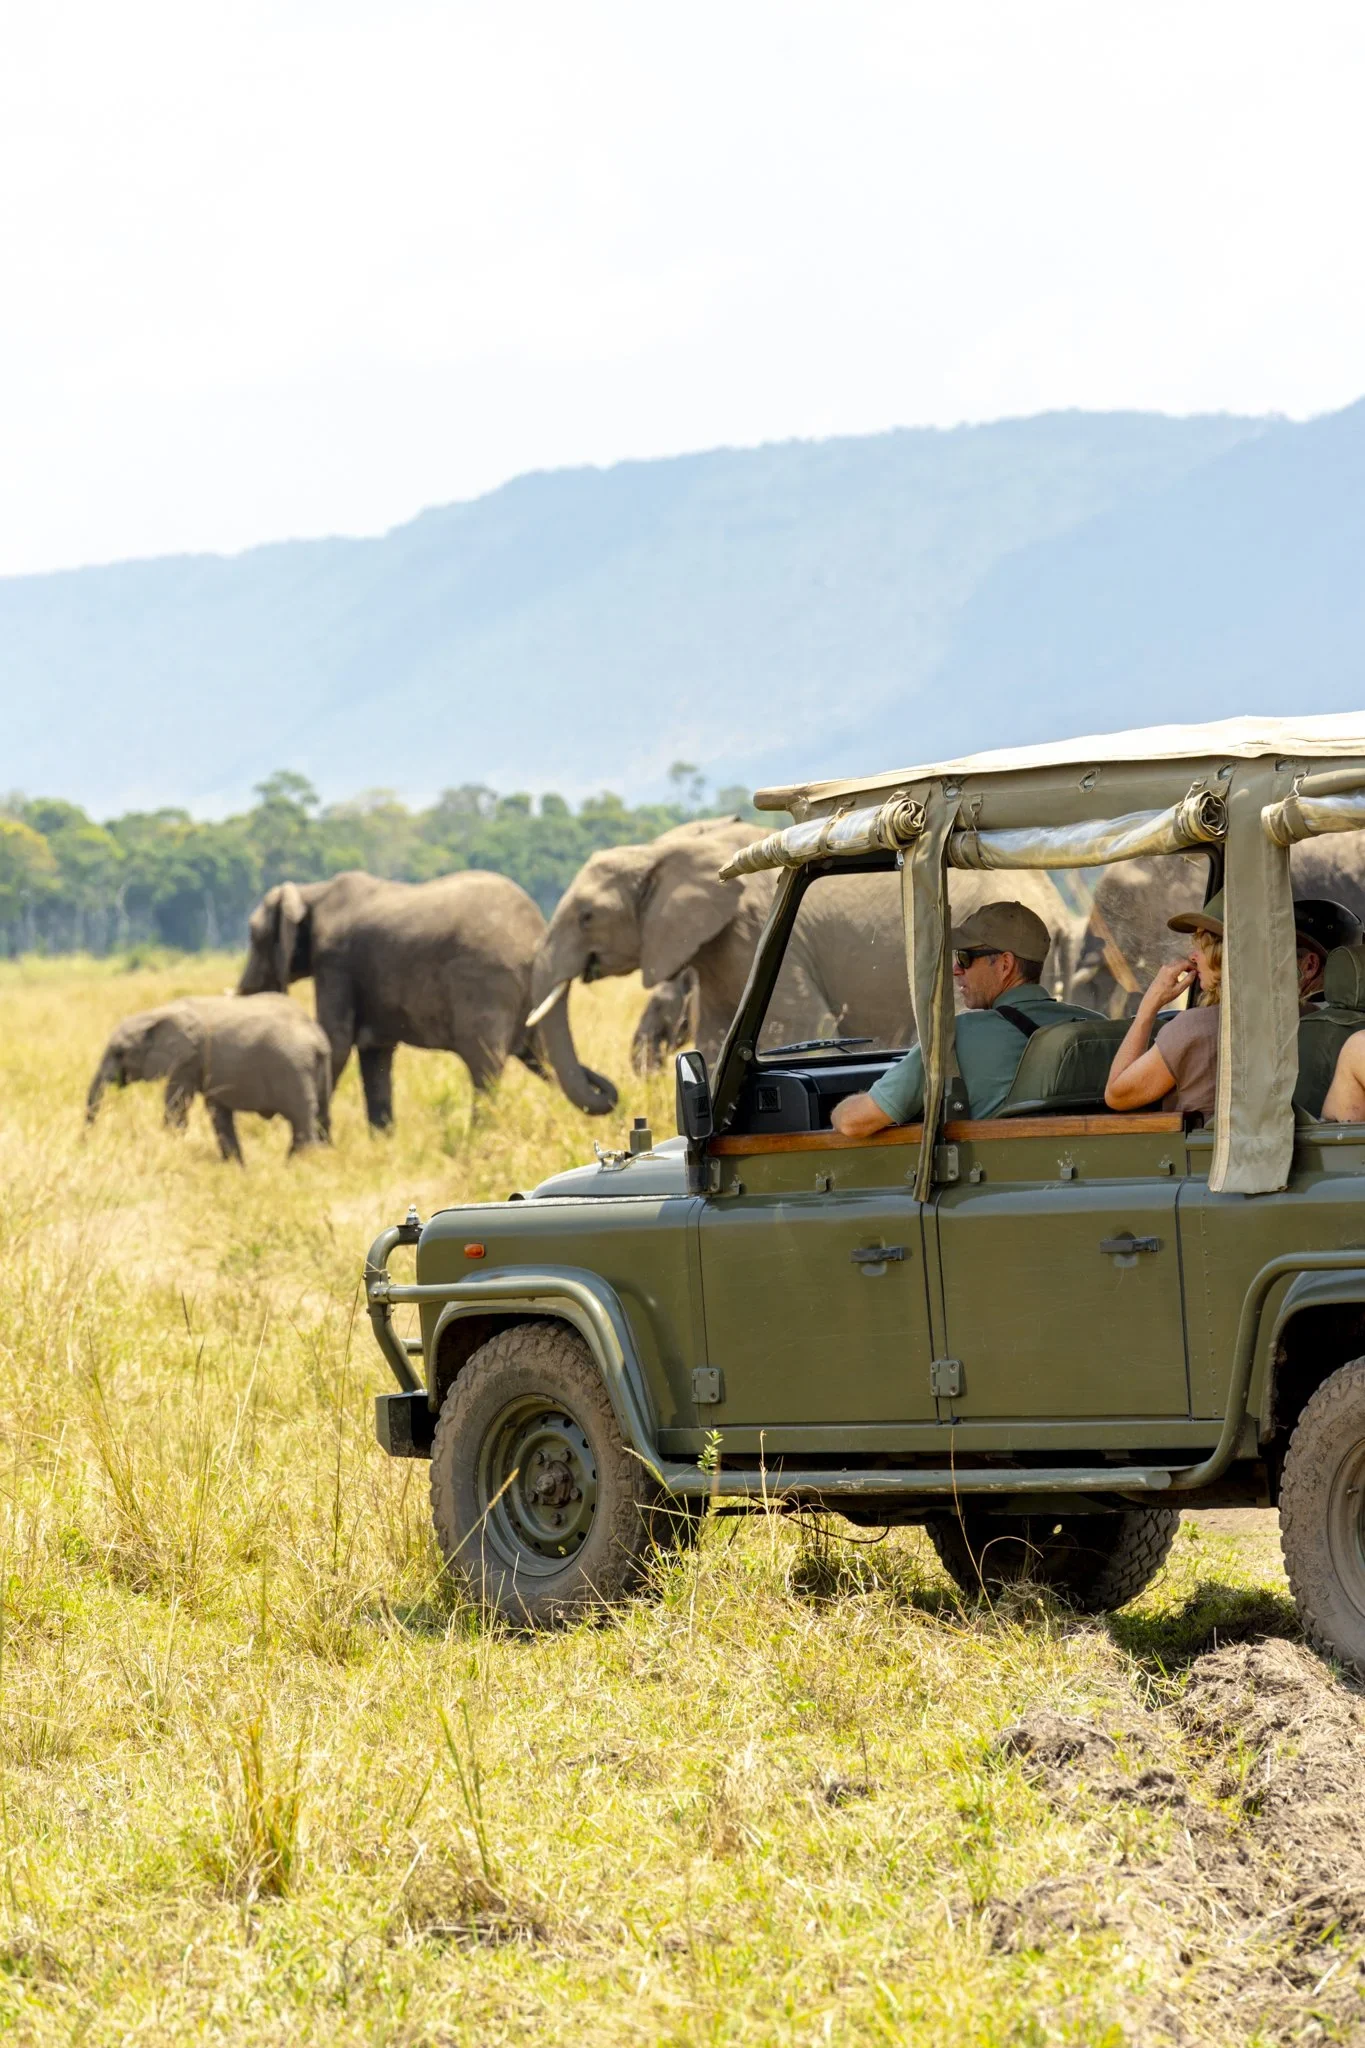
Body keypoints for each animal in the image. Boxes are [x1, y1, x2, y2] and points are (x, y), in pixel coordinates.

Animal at [86, 994, 331, 1161]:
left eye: (119, 1052)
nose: (85, 1140)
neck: (155, 1014)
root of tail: (317, 1038)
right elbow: (217, 1112)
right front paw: (235, 1167)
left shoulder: (188, 1060)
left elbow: (177, 1105)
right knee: (320, 1115)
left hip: (294, 1070)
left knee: (301, 1120)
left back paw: (296, 1166)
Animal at [237, 869, 617, 1126]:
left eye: (254, 937)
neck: (312, 892)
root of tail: (536, 933)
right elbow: (375, 1054)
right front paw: (383, 1145)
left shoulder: (335, 965)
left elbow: (337, 1042)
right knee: (542, 1059)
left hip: (485, 983)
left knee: (485, 1065)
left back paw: (478, 1140)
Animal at [527, 817, 1087, 1109]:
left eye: (586, 916)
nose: (609, 1092)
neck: (658, 849)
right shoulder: (720, 947)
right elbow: (716, 1035)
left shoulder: (756, 932)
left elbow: (794, 1026)